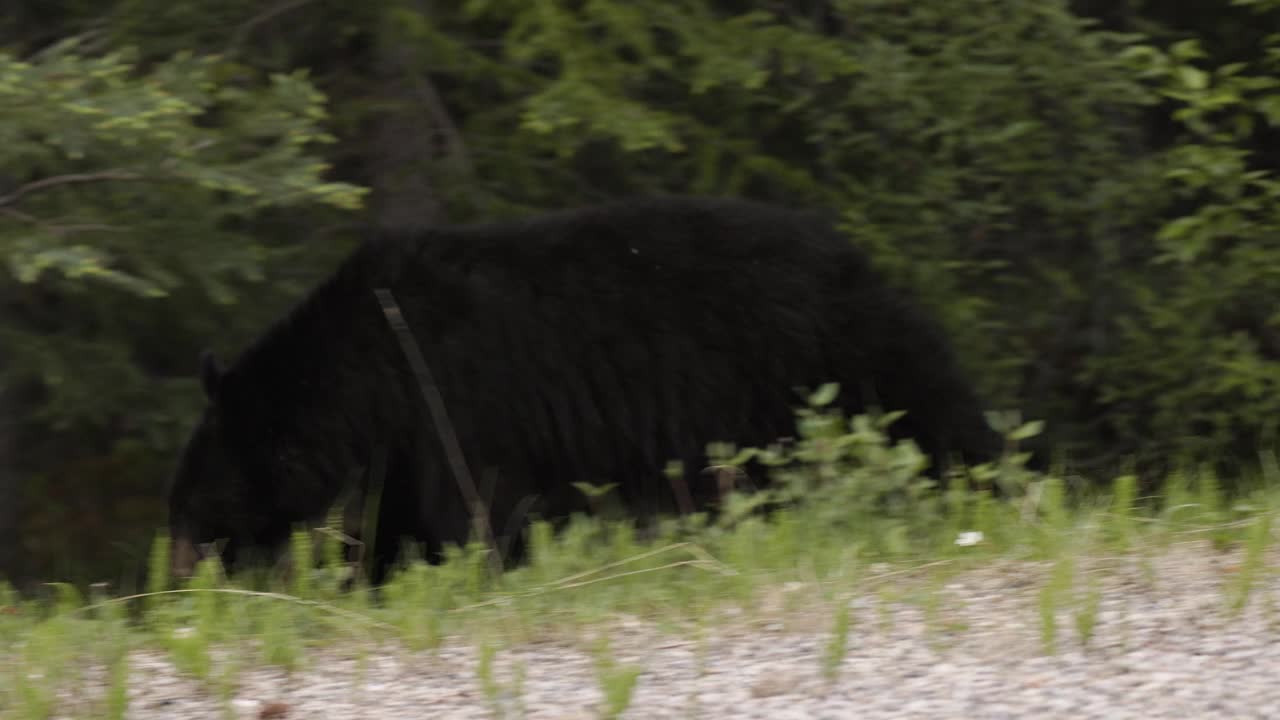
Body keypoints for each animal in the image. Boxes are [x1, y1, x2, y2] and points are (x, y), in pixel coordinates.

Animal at [165, 197, 1003, 584]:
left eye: (195, 494)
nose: (175, 564)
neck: (365, 372)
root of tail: (855, 258)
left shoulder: (458, 406)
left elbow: (474, 514)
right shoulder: (403, 443)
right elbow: (398, 524)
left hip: (813, 362)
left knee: (931, 414)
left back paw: (984, 490)